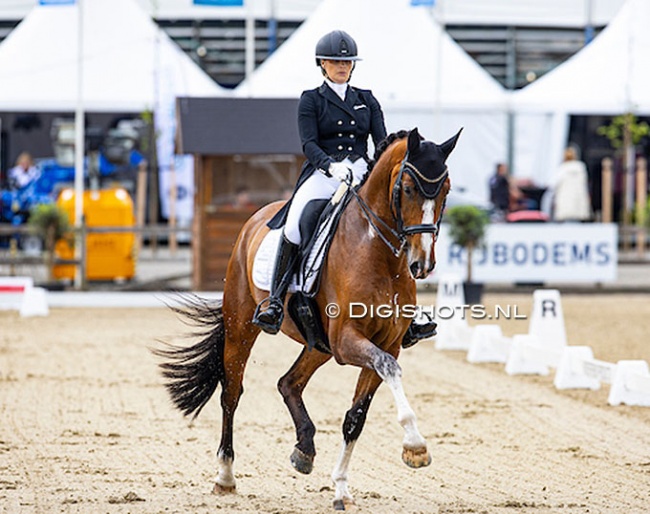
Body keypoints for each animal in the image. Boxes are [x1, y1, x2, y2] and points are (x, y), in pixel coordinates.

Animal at [153, 127, 456, 508]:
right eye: (408, 188)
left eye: (446, 190)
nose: (422, 264)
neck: (379, 254)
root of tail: (257, 218)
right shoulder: (347, 341)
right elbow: (389, 369)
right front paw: (415, 447)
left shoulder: (385, 343)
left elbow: (356, 417)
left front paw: (341, 489)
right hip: (242, 329)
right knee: (231, 394)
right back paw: (225, 476)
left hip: (318, 345)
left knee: (288, 383)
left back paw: (305, 450)